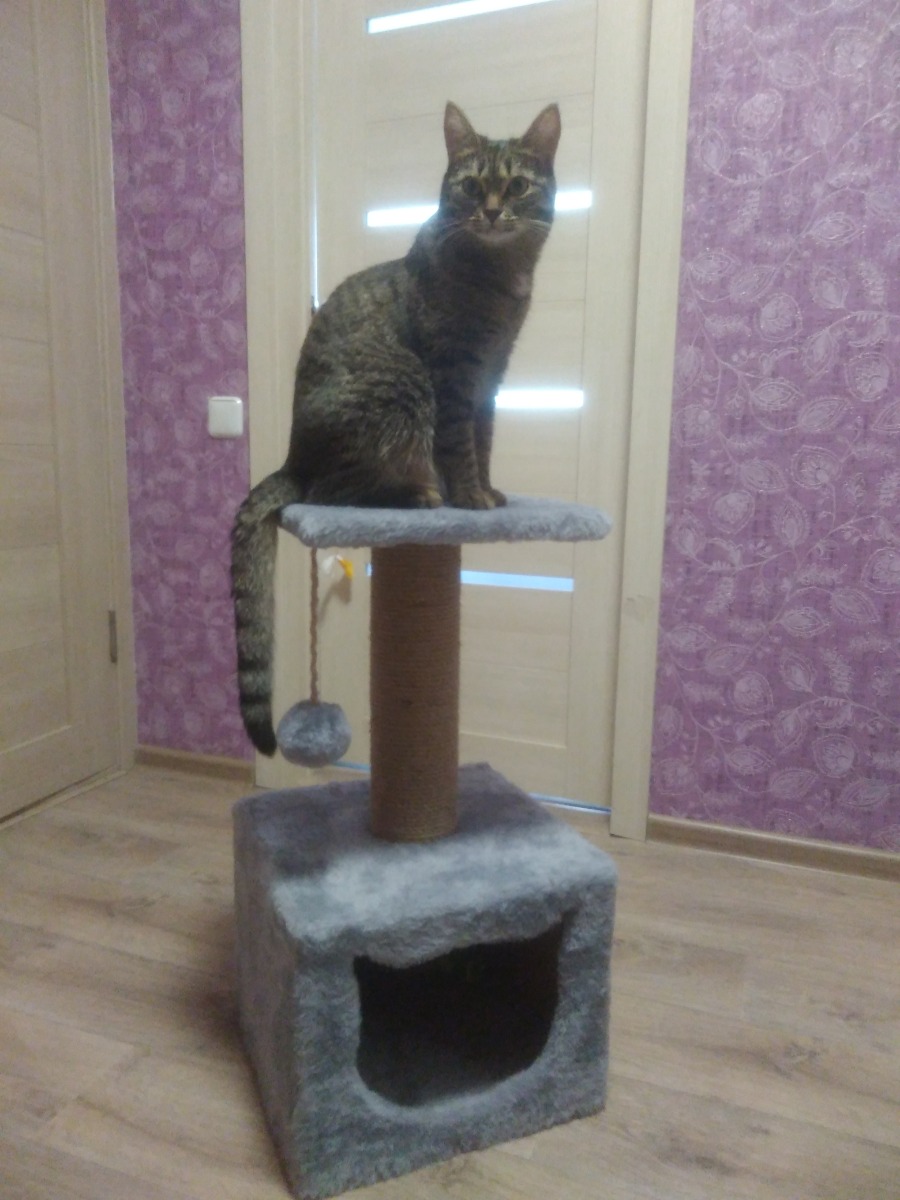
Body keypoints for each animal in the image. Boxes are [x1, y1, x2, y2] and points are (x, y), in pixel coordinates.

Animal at [231, 101, 561, 754]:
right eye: (470, 186)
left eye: (515, 185)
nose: (491, 211)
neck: (500, 277)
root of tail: (291, 459)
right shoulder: (452, 375)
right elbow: (459, 446)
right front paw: (469, 498)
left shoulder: (490, 379)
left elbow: (483, 441)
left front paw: (488, 491)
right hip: (401, 390)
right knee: (330, 492)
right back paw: (417, 495)